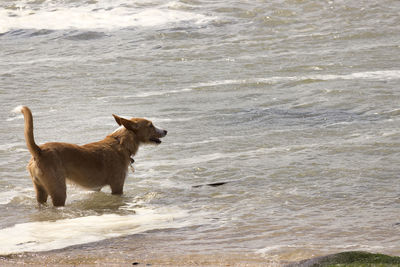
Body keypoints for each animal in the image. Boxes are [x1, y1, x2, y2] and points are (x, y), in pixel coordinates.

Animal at [13, 107, 167, 207]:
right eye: (150, 125)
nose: (165, 130)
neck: (121, 142)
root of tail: (39, 150)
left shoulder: (96, 188)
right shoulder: (117, 186)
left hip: (40, 190)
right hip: (58, 190)